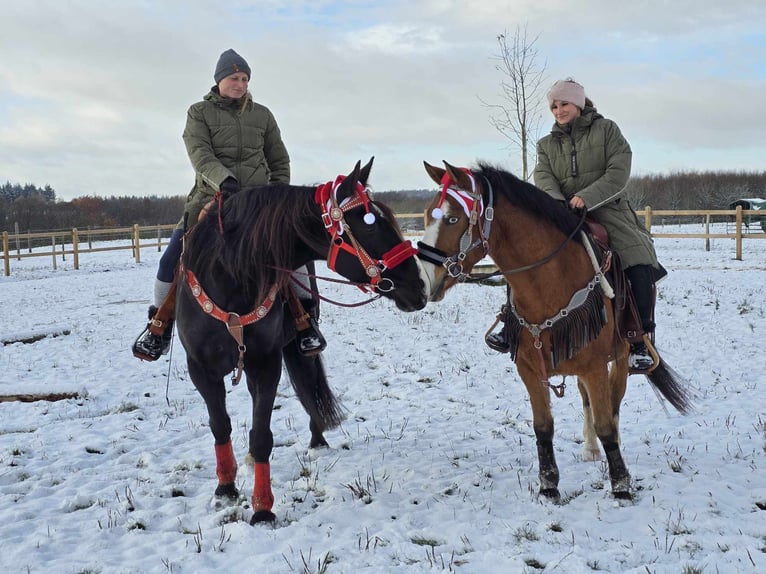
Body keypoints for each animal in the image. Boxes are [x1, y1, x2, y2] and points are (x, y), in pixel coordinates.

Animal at [175, 159, 428, 528]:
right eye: (370, 226)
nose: (419, 287)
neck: (230, 274)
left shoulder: (266, 364)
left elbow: (262, 435)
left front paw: (262, 509)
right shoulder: (201, 369)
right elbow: (220, 426)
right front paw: (225, 489)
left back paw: (317, 439)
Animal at [416, 160, 692, 502]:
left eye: (453, 218)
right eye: (429, 216)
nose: (425, 278)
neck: (549, 284)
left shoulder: (596, 367)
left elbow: (607, 424)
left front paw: (621, 485)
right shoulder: (531, 369)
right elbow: (543, 426)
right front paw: (548, 484)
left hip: (620, 359)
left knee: (612, 406)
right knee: (588, 402)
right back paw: (590, 449)